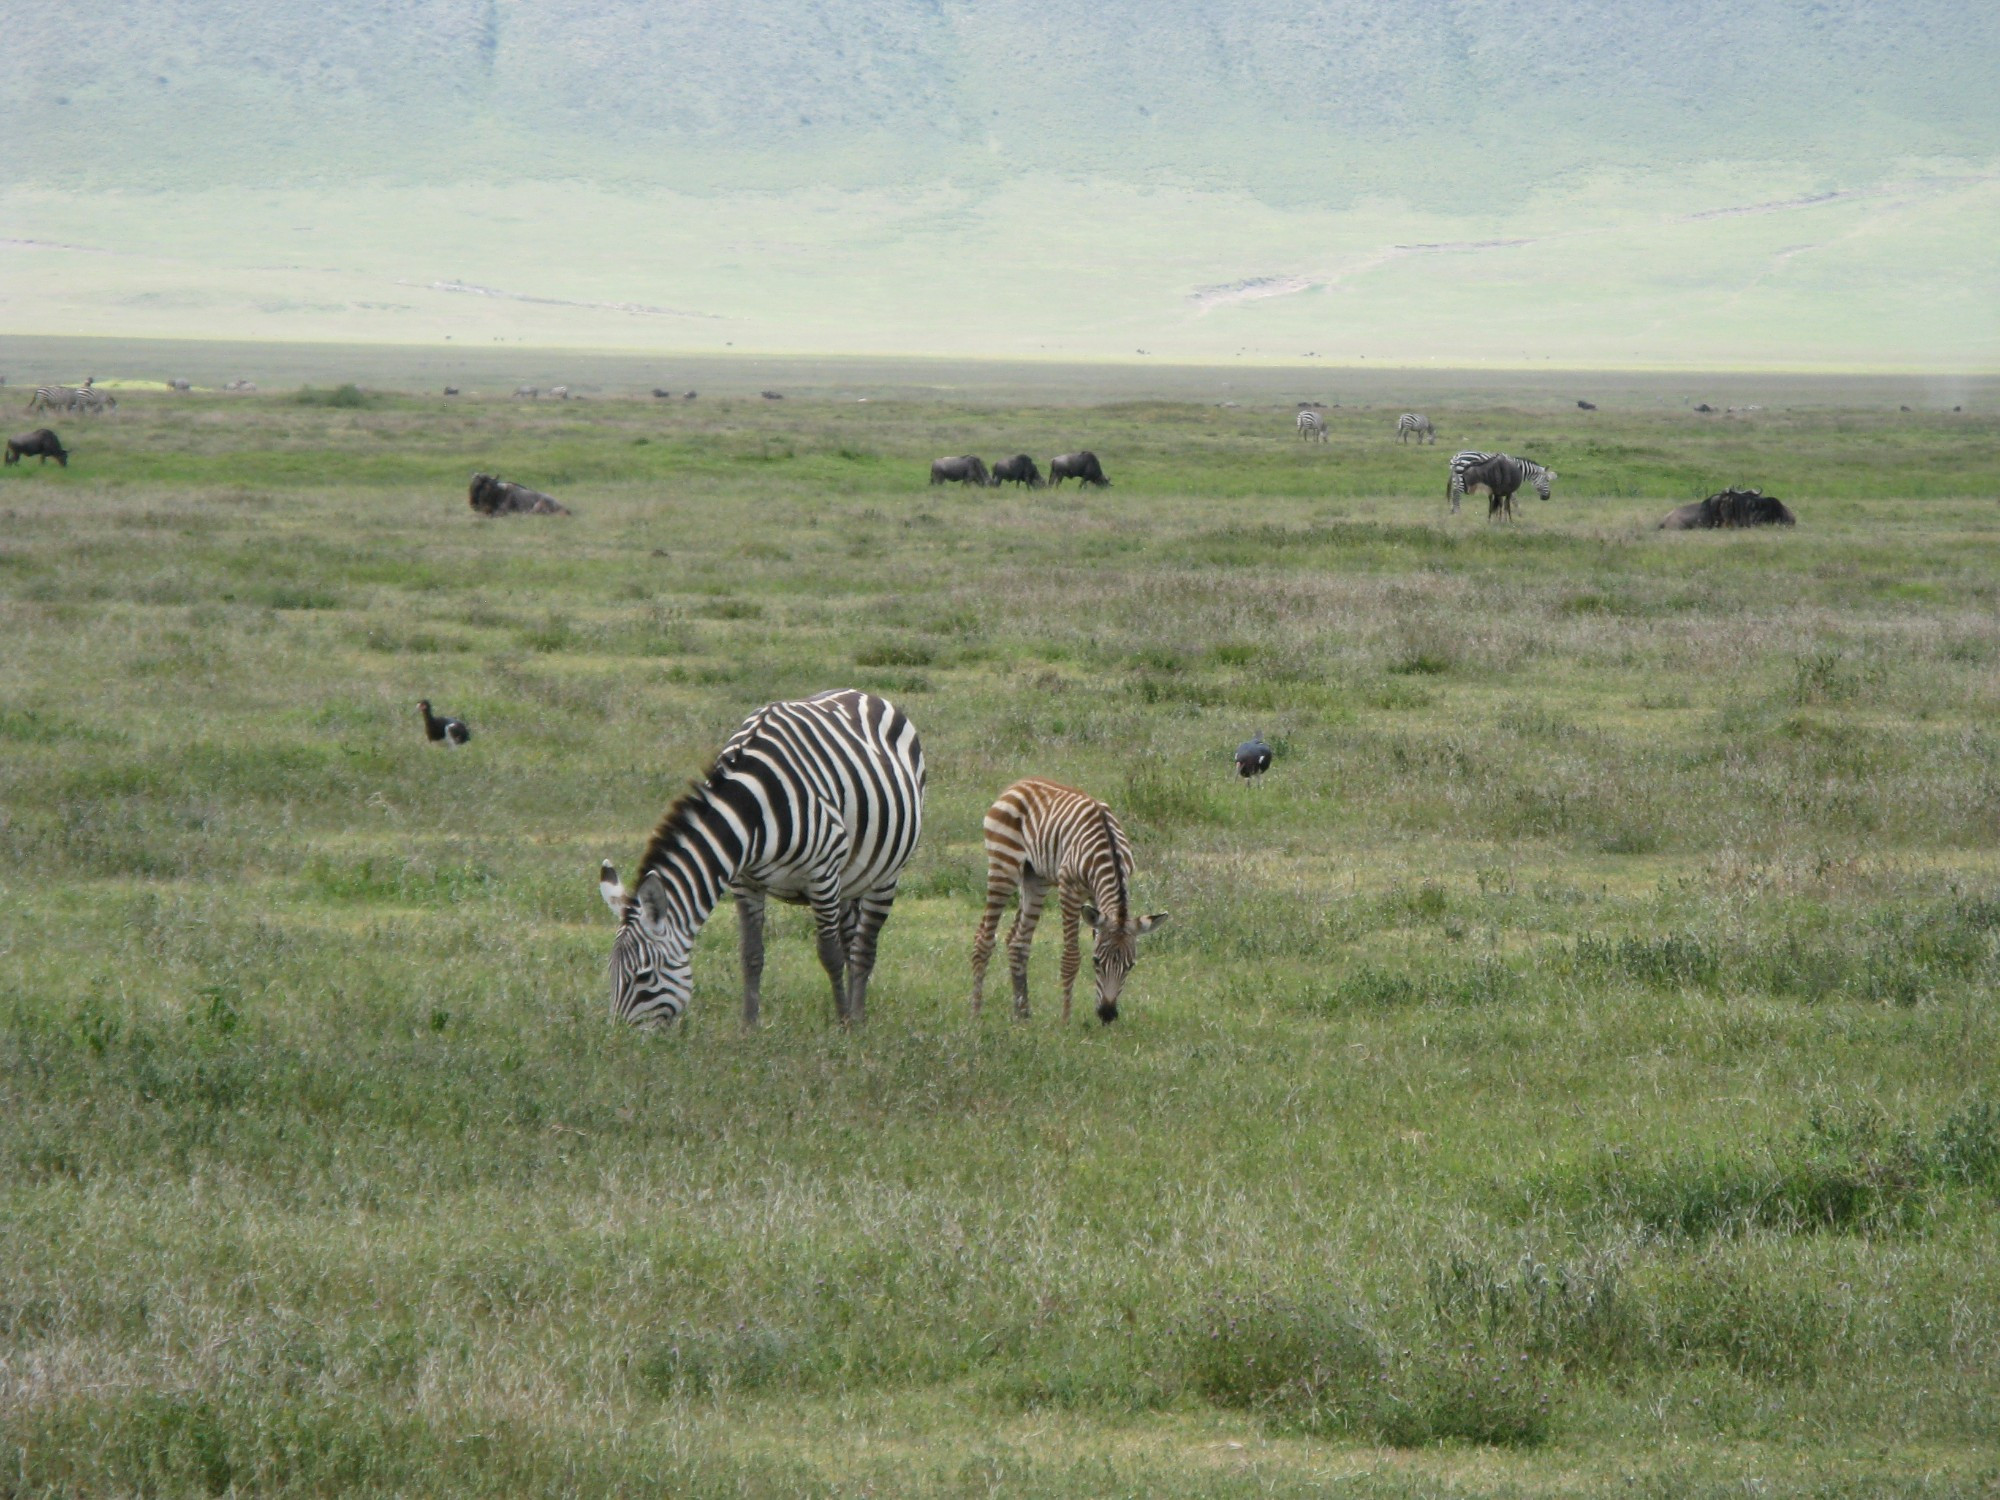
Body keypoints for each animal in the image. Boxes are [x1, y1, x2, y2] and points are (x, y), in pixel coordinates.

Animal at [600, 696, 928, 1032]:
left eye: (643, 977)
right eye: (610, 973)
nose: (617, 1038)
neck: (753, 813)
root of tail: (862, 694)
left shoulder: (822, 874)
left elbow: (829, 954)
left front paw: (843, 1024)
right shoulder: (745, 881)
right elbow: (751, 954)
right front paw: (748, 1026)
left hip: (885, 874)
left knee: (863, 947)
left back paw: (857, 1017)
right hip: (849, 877)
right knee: (851, 939)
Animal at [972, 780, 1168, 1032]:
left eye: (1130, 966)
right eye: (1096, 962)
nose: (1107, 1014)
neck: (1110, 851)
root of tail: (1018, 783)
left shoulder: (1098, 898)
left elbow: (1096, 936)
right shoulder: (1069, 890)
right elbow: (1071, 958)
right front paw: (1065, 1019)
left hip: (1036, 878)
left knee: (1018, 941)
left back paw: (1022, 1014)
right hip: (1003, 866)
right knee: (984, 938)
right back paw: (976, 1014)